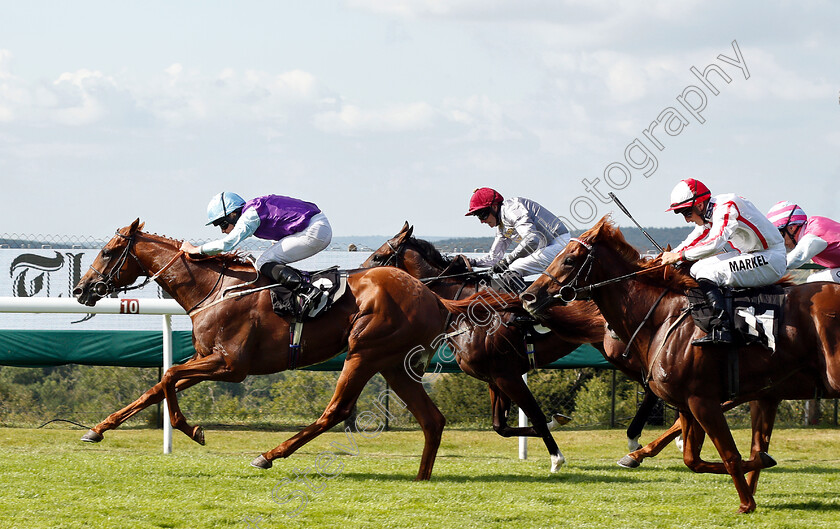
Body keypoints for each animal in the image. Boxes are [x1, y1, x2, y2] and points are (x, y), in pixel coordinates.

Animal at [74, 219, 452, 478]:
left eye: (108, 252)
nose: (81, 289)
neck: (215, 288)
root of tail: (434, 296)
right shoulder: (206, 357)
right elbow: (157, 387)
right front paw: (96, 430)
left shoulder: (231, 366)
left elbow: (168, 375)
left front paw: (193, 431)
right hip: (393, 362)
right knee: (432, 420)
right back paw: (421, 477)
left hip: (364, 352)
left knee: (337, 411)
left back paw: (268, 455)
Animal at [520, 216, 840, 512]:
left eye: (569, 259)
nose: (528, 296)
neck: (663, 316)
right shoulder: (696, 403)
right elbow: (694, 460)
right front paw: (758, 468)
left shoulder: (703, 400)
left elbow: (729, 454)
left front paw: (746, 503)